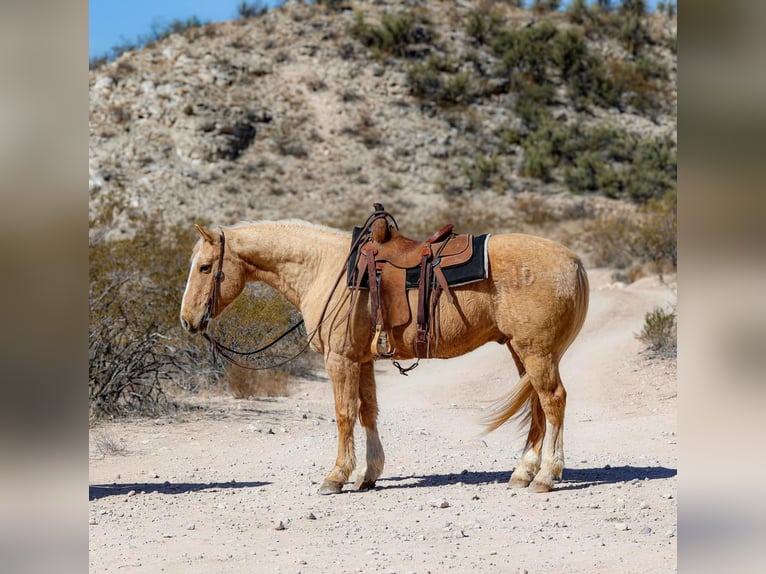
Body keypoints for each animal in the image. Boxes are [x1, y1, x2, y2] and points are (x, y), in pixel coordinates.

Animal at [180, 220, 588, 496]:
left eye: (204, 267)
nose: (187, 320)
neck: (325, 268)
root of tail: (572, 260)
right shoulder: (361, 360)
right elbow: (368, 412)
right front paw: (368, 475)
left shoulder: (340, 359)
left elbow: (345, 414)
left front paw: (336, 477)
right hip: (522, 351)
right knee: (537, 405)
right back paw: (523, 472)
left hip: (536, 352)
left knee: (553, 401)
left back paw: (547, 475)